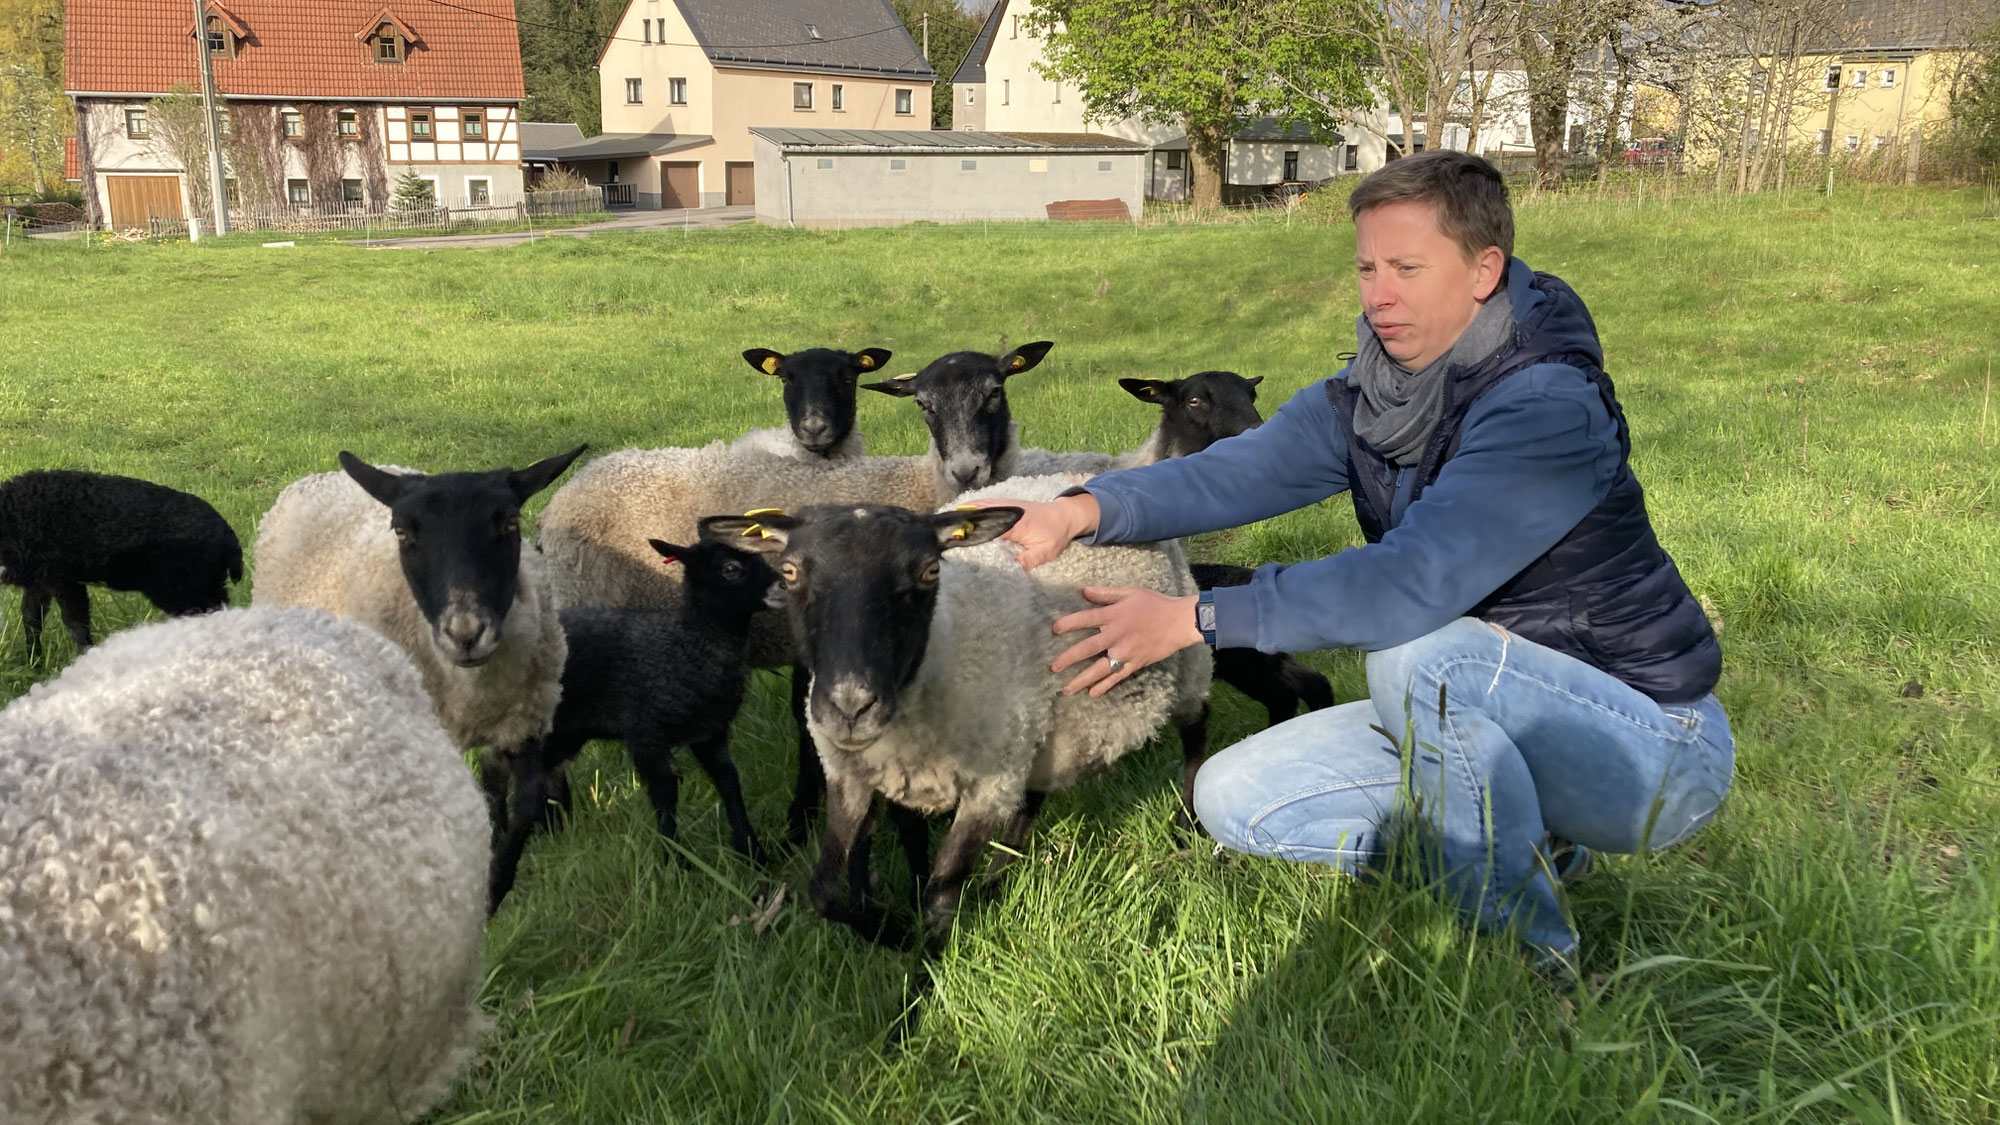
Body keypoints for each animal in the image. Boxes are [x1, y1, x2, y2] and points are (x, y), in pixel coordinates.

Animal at [0, 464, 244, 656]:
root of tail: (228, 535)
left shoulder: (63, 578)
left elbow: (77, 625)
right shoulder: (39, 580)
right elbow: (32, 620)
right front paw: (34, 662)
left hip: (184, 588)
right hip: (206, 583)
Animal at [250, 442, 584, 844]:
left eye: (510, 524)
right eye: (401, 532)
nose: (465, 634)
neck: (472, 695)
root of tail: (319, 477)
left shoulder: (521, 730)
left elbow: (510, 809)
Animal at [488, 528, 784, 904]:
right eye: (731, 569)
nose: (783, 587)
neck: (686, 644)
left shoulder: (709, 734)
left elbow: (730, 784)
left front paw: (753, 852)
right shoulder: (645, 734)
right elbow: (664, 795)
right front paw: (675, 864)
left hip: (566, 732)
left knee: (544, 775)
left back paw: (553, 830)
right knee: (497, 774)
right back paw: (502, 838)